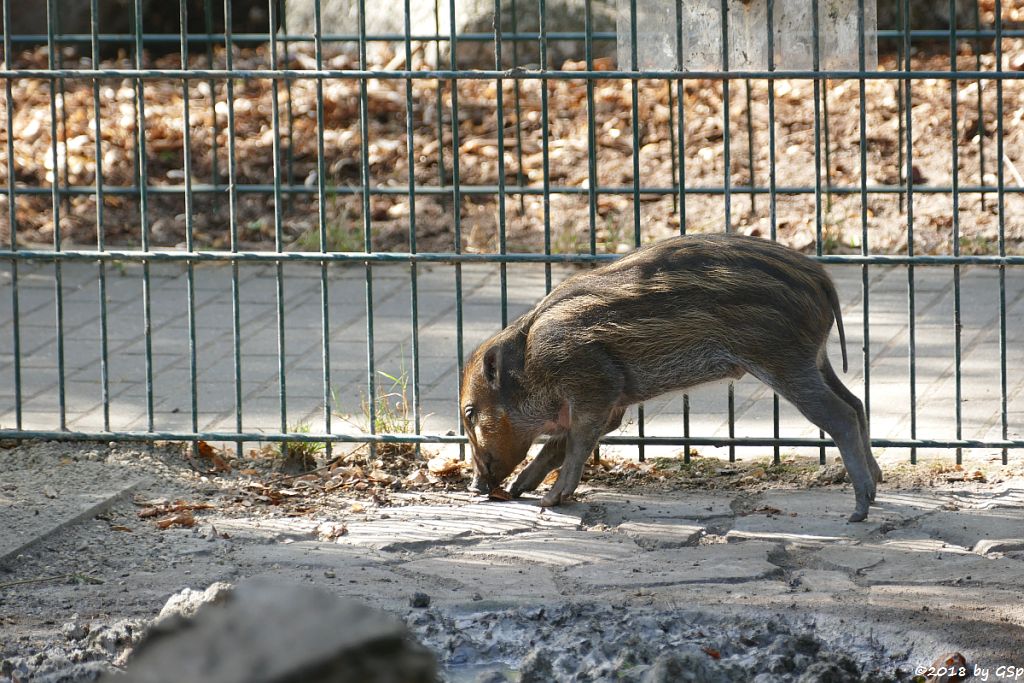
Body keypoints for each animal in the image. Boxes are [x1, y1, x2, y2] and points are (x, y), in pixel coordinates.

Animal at [460, 235, 884, 524]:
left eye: (469, 413)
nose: (476, 489)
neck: (531, 360)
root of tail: (820, 279)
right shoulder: (611, 404)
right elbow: (556, 445)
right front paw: (520, 489)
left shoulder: (593, 388)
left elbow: (575, 444)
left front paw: (552, 499)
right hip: (815, 359)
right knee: (857, 403)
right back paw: (876, 487)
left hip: (784, 362)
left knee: (841, 416)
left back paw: (860, 508)